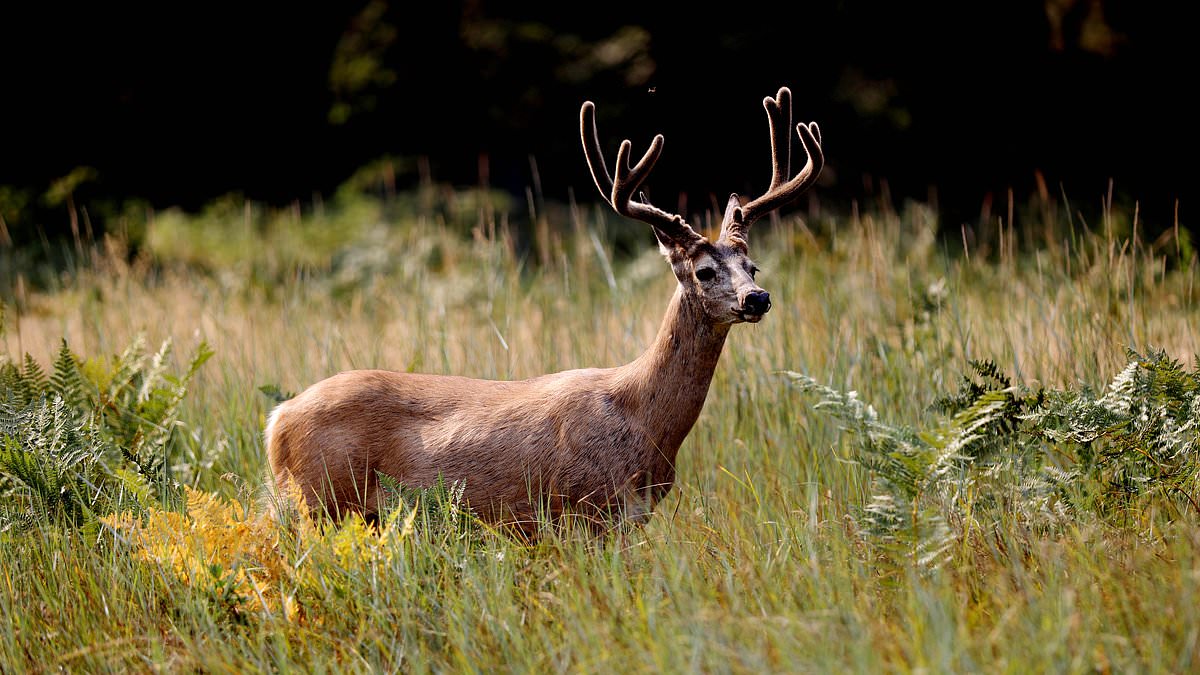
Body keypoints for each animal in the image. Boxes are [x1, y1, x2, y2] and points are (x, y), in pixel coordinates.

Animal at [264, 86, 823, 537]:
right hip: (322, 498)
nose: (757, 298)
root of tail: (277, 421)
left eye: (752, 265)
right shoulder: (586, 507)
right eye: (705, 271)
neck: (642, 419)